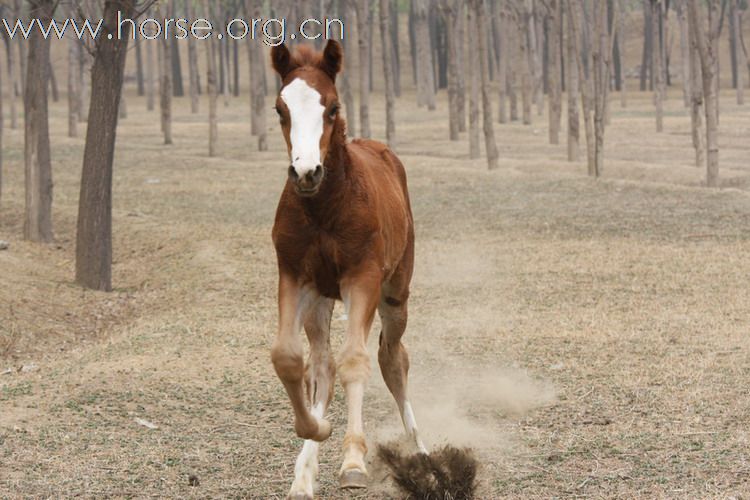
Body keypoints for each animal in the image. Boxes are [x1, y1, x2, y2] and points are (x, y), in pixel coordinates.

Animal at [270, 41, 426, 498]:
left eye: (333, 107)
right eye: (280, 109)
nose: (306, 172)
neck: (324, 208)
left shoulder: (363, 279)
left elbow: (356, 360)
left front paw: (354, 460)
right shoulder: (294, 276)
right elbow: (289, 358)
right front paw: (316, 430)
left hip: (395, 292)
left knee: (392, 357)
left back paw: (420, 447)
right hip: (321, 300)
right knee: (323, 364)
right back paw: (305, 471)